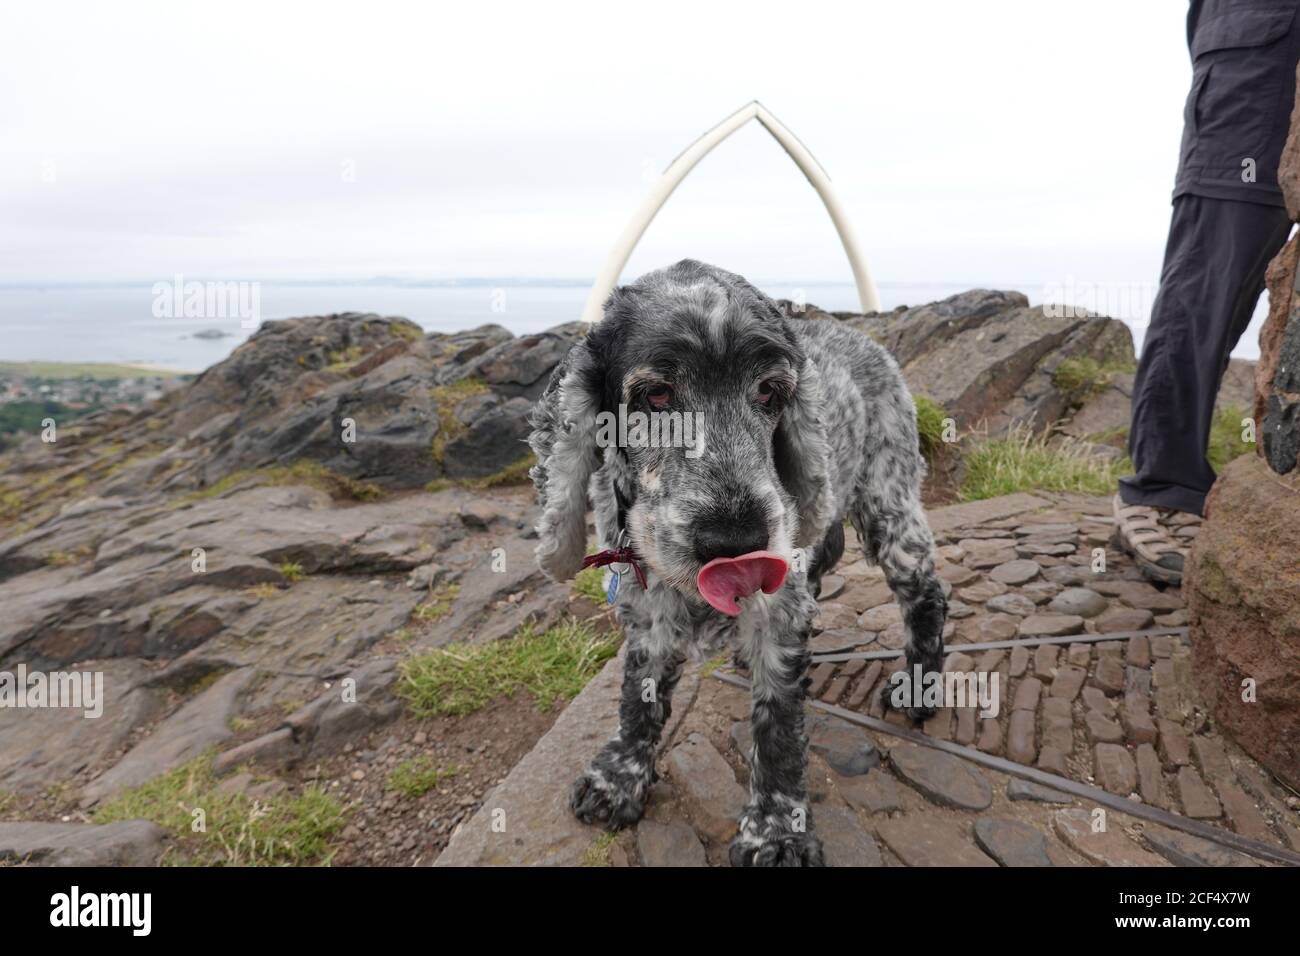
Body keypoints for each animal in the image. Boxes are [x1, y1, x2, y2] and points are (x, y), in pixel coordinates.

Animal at [527, 261, 946, 868]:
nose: (737, 541)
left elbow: (778, 725)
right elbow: (638, 694)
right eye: (655, 394)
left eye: (771, 391)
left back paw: (921, 687)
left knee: (926, 593)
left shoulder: (780, 608)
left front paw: (777, 833)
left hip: (889, 502)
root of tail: (861, 335)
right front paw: (618, 779)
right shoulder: (648, 607)